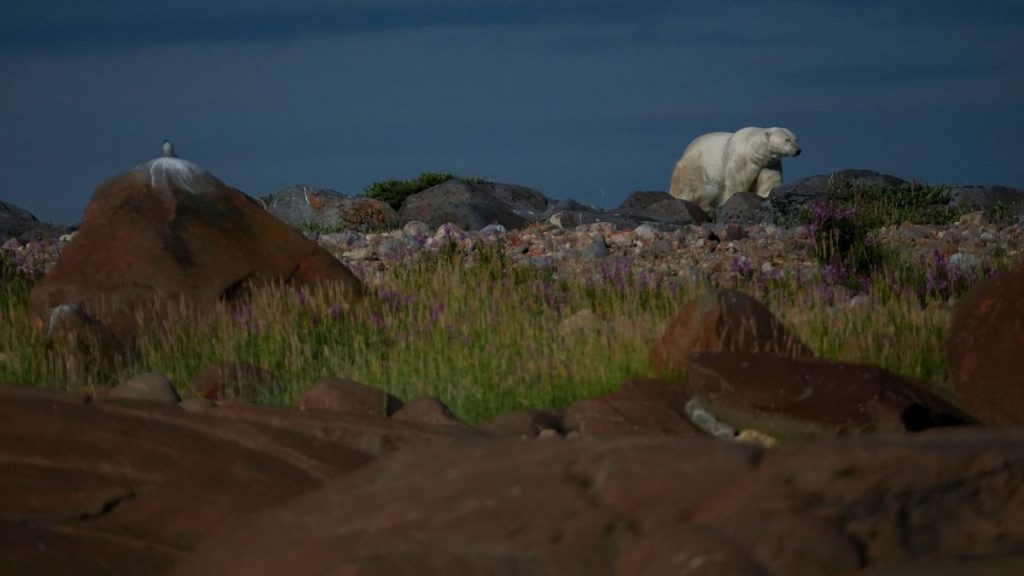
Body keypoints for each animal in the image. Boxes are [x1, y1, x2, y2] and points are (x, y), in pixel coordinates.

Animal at [669, 127, 801, 211]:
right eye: (786, 140)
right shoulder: (742, 158)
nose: (798, 150)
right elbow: (737, 181)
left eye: (796, 139)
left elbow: (770, 181)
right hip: (696, 167)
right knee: (694, 187)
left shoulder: (769, 163)